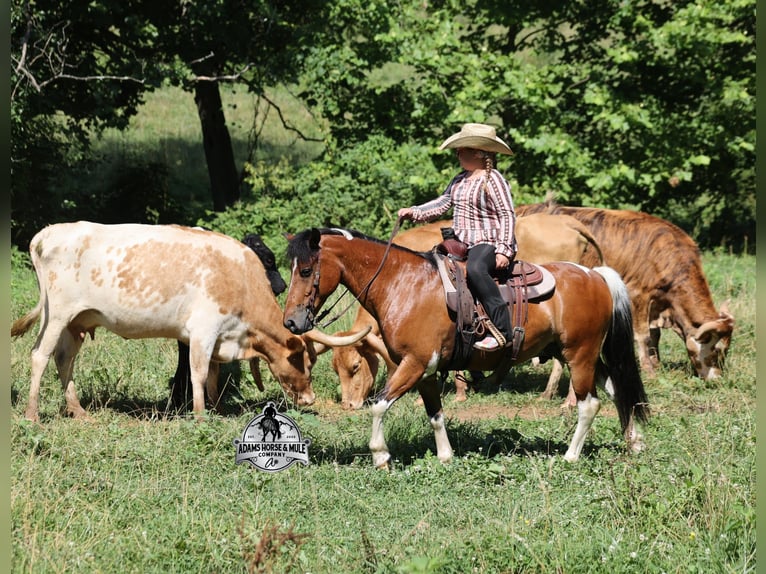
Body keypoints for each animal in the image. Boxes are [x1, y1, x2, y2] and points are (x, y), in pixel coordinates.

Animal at [283, 227, 649, 468]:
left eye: (306, 270)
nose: (291, 322)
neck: (403, 285)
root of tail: (595, 275)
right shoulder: (426, 371)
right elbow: (435, 415)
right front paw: (445, 457)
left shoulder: (414, 364)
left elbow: (378, 406)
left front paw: (380, 455)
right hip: (578, 354)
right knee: (619, 389)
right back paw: (635, 442)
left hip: (580, 355)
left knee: (590, 404)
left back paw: (571, 456)